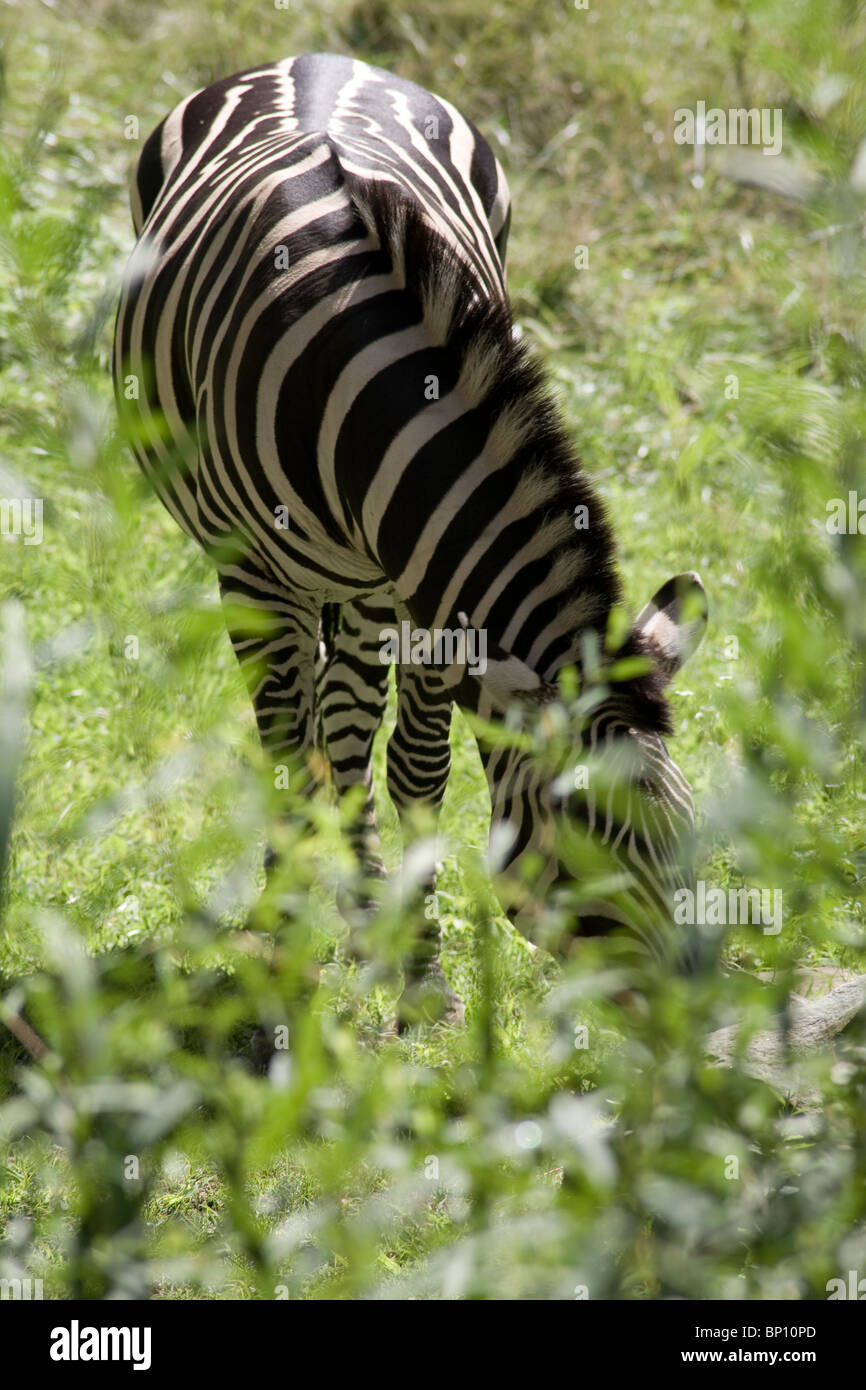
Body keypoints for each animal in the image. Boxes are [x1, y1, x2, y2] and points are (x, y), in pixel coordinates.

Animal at [113, 51, 711, 1023]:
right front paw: (286, 959)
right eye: (593, 846)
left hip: (364, 590)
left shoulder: (424, 590)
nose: (705, 1020)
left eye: (687, 834)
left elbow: (414, 767)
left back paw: (366, 926)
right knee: (313, 736)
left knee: (348, 731)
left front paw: (420, 971)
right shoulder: (257, 577)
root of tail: (316, 56)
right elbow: (289, 761)